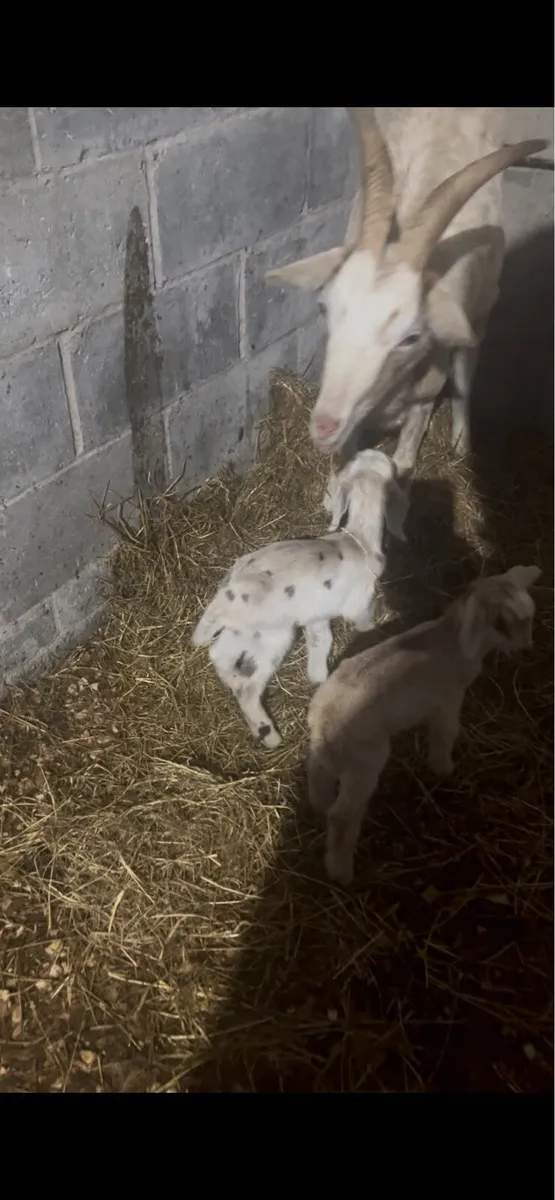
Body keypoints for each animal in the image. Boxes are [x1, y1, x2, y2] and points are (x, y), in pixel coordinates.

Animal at [191, 449, 409, 749]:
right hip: (273, 636)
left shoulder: (316, 615)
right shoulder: (360, 603)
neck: (359, 540)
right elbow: (363, 625)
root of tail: (226, 598)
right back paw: (269, 735)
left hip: (243, 632)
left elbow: (321, 641)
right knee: (249, 689)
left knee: (219, 655)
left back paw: (233, 680)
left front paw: (318, 678)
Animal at [266, 109, 547, 483]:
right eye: (324, 308)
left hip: (481, 307)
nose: (325, 426)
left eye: (412, 337)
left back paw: (461, 444)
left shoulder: (422, 401)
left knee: (466, 374)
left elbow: (403, 463)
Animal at [307, 564, 542, 885]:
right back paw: (341, 873)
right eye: (502, 624)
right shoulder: (449, 698)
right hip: (364, 762)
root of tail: (322, 719)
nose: (528, 650)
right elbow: (446, 732)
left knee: (318, 778)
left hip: (329, 755)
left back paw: (319, 807)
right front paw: (443, 769)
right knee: (341, 816)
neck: (452, 640)